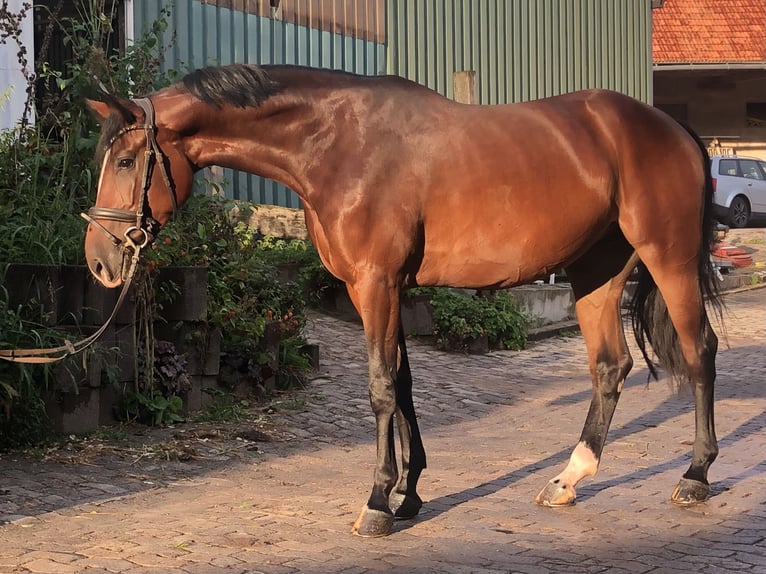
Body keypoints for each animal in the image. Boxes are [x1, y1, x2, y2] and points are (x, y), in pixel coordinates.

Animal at [85, 64, 728, 540]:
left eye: (126, 161)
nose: (99, 261)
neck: (337, 144)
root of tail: (672, 129)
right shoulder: (378, 288)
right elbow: (403, 385)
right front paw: (409, 490)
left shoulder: (376, 283)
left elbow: (379, 388)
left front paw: (377, 502)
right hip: (595, 271)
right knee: (610, 367)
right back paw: (569, 478)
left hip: (667, 257)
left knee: (700, 350)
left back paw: (695, 475)